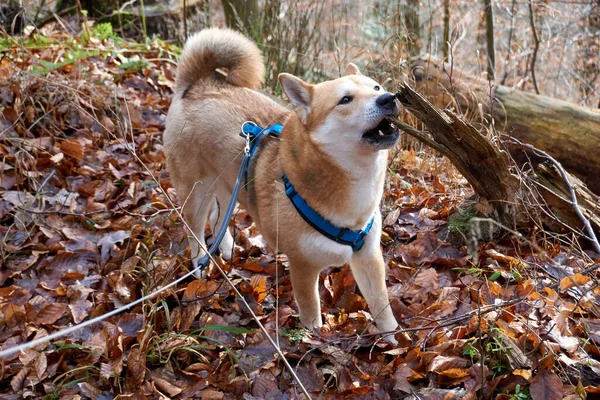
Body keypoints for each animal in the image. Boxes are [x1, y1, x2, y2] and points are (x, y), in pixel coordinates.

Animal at [162, 27, 400, 334]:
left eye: (377, 88)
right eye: (345, 100)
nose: (389, 98)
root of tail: (195, 86)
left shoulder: (368, 256)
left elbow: (383, 311)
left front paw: (395, 340)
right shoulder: (303, 267)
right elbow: (312, 317)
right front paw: (317, 339)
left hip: (230, 184)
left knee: (217, 218)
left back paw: (225, 249)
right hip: (196, 192)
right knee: (194, 231)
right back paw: (200, 267)